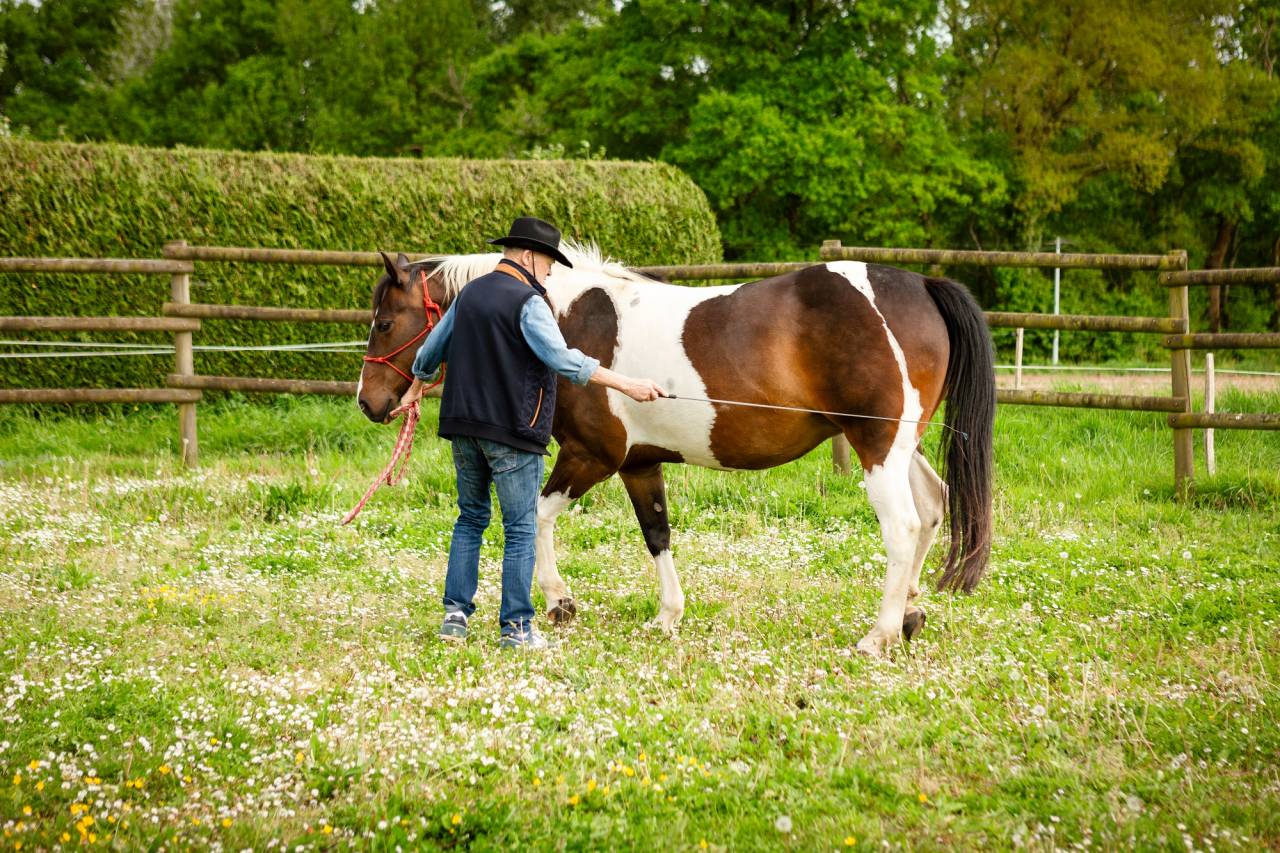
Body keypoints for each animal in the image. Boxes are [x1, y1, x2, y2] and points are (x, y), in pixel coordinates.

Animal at [356, 243, 995, 656]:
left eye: (385, 322)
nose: (369, 401)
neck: (563, 318)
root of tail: (920, 285)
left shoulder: (593, 456)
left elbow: (536, 515)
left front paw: (560, 601)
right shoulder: (639, 465)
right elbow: (657, 534)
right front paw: (666, 617)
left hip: (878, 445)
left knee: (903, 526)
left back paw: (878, 634)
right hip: (901, 445)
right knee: (932, 508)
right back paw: (909, 612)